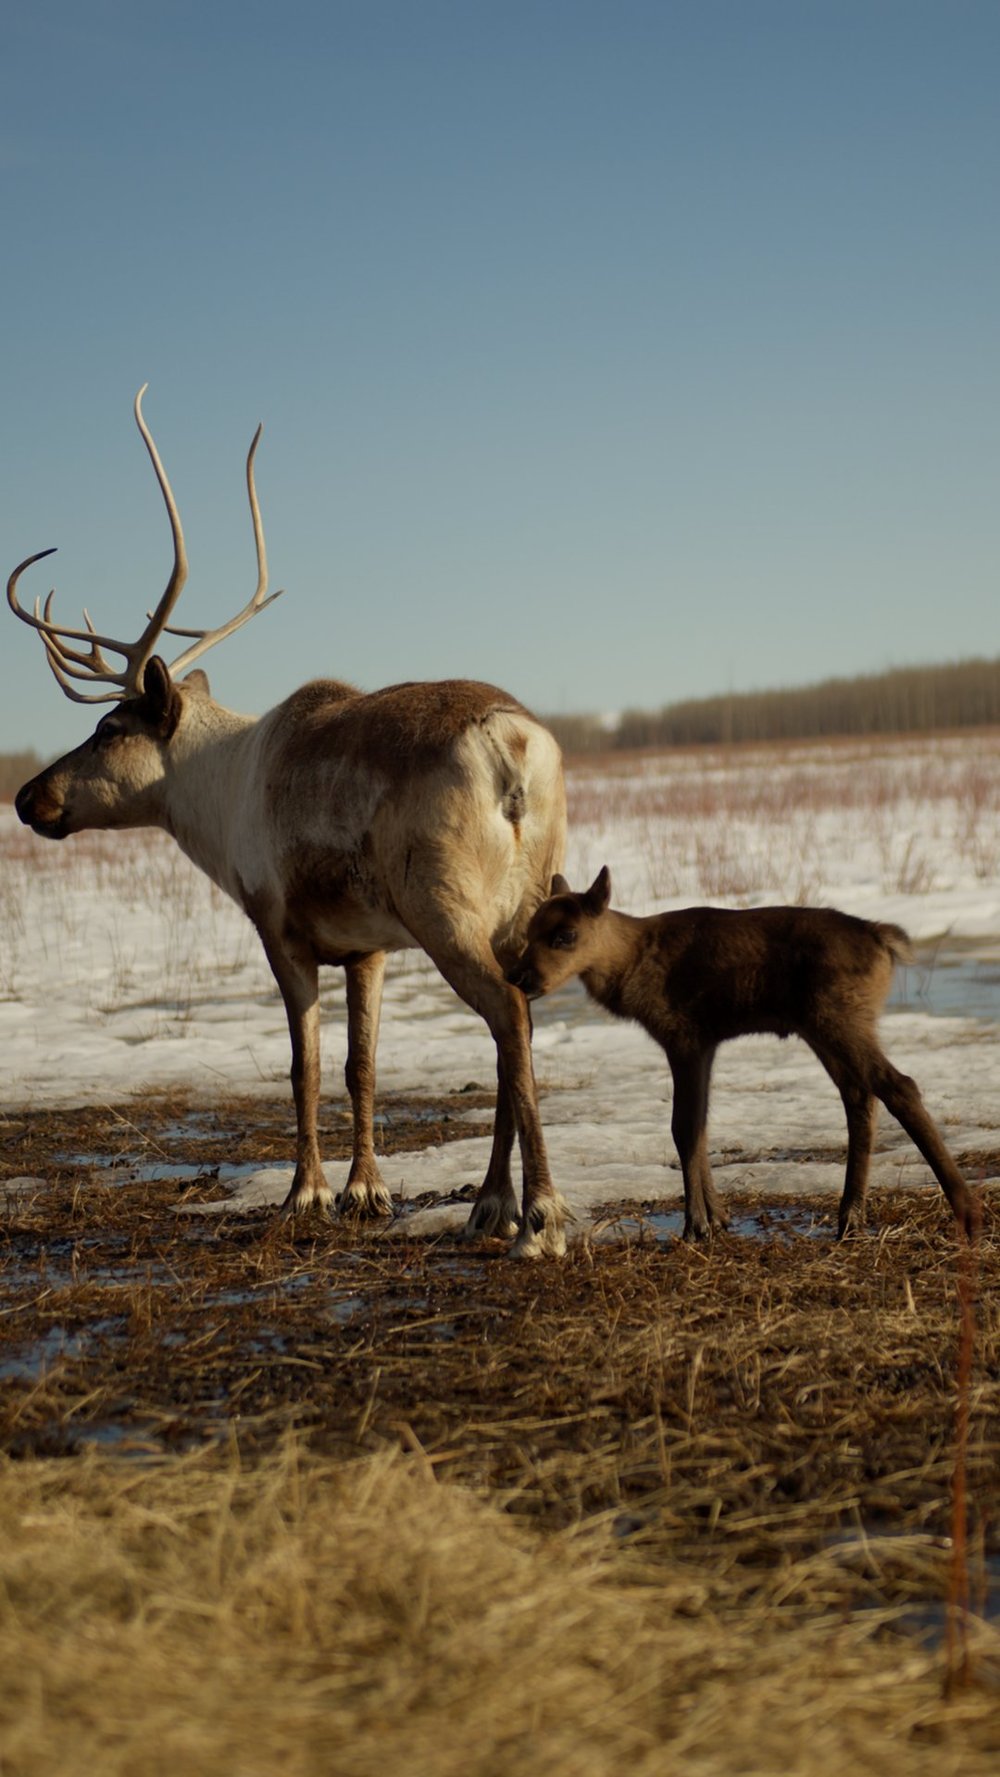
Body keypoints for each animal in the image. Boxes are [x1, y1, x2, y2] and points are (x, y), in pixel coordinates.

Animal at [8, 388, 569, 1258]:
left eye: (107, 728)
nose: (28, 797)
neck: (222, 790)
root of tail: (513, 749)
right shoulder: (368, 945)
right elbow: (361, 1064)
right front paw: (366, 1190)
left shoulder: (278, 924)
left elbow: (303, 1064)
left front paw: (305, 1193)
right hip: (522, 904)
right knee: (522, 1024)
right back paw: (489, 1202)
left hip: (445, 910)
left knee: (508, 1015)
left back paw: (535, 1215)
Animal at [506, 867, 977, 1242]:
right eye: (528, 932)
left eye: (565, 936)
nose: (520, 976)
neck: (630, 965)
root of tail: (884, 939)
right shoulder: (706, 1043)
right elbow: (700, 1126)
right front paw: (718, 1217)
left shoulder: (683, 1035)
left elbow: (683, 1127)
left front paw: (695, 1225)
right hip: (826, 1026)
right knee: (860, 1097)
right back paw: (850, 1218)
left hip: (839, 1017)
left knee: (899, 1085)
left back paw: (966, 1211)